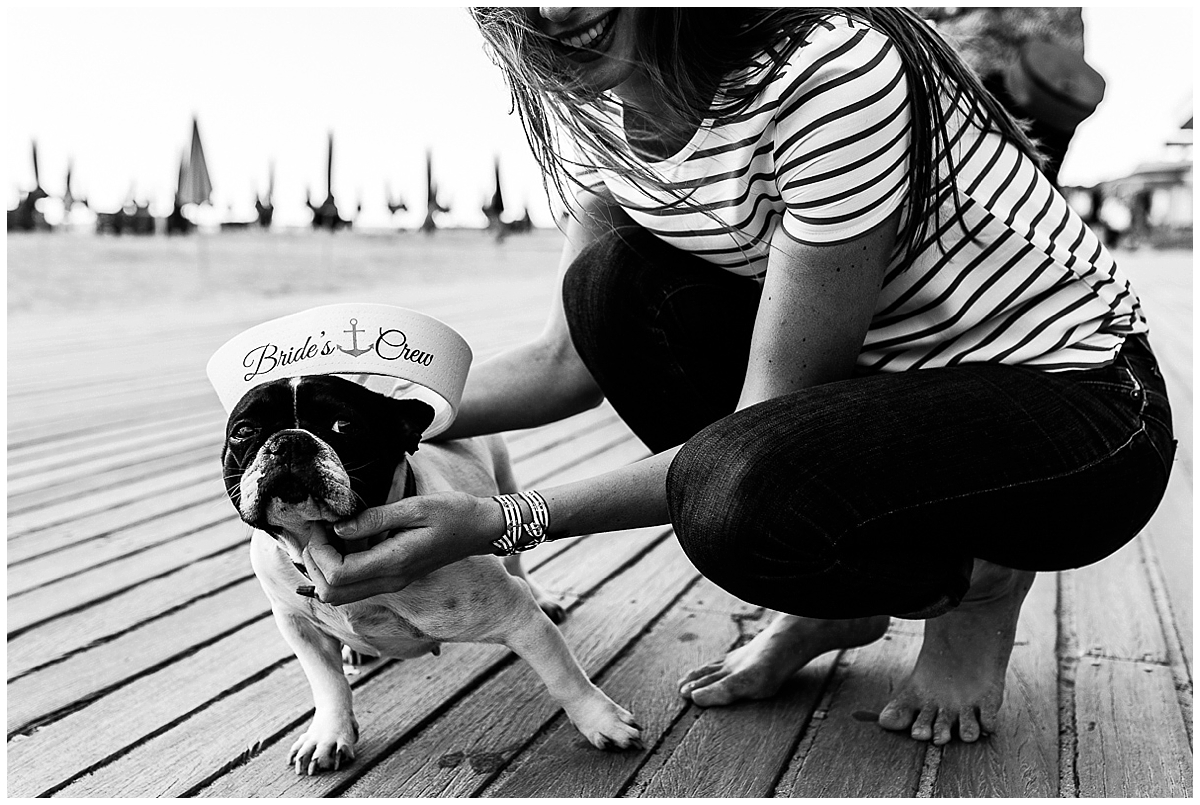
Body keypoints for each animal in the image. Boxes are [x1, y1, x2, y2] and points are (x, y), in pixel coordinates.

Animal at [220, 376, 643, 772]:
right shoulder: (298, 624)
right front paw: (328, 734)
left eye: (344, 424)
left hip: (504, 475)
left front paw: (601, 721)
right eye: (244, 431)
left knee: (518, 558)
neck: (334, 546)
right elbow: (327, 684)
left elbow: (563, 678)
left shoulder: (520, 619)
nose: (290, 442)